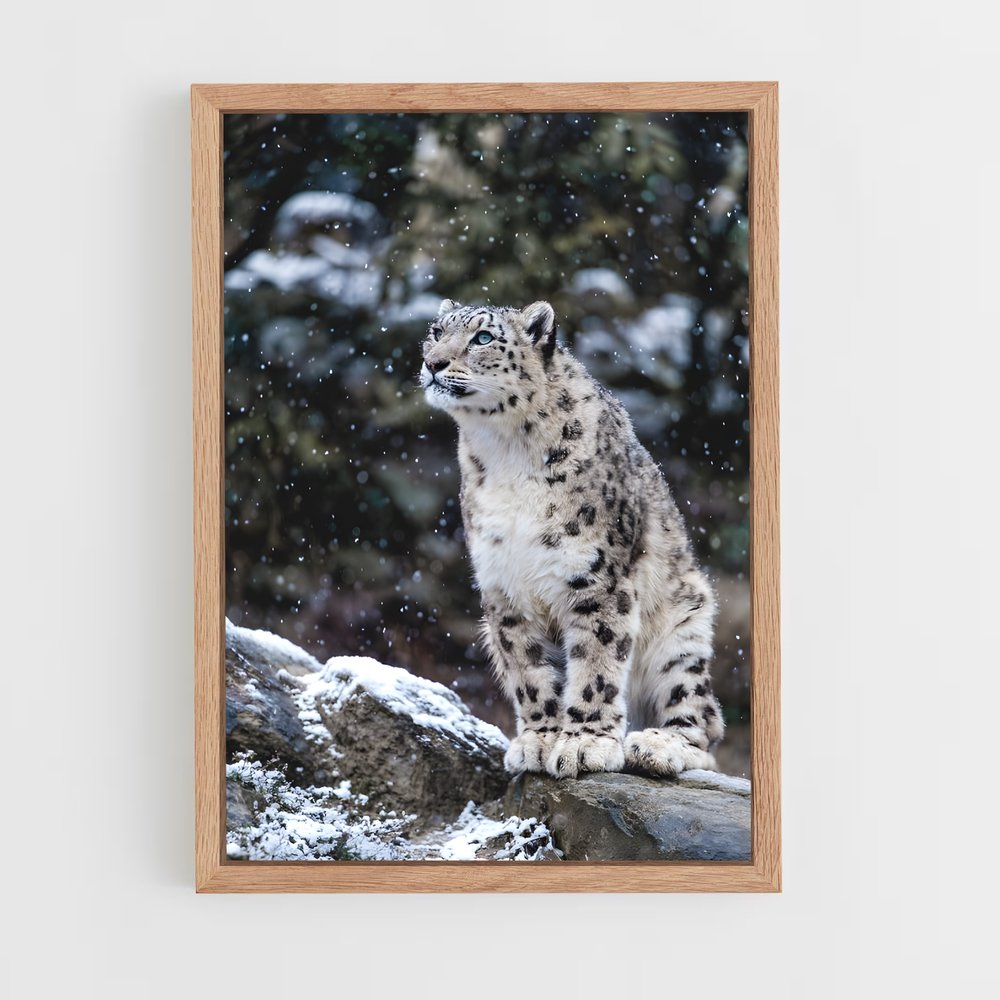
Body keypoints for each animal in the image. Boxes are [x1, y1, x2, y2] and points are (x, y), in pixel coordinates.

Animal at [420, 299, 725, 779]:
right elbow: (527, 668)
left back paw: (656, 746)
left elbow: (596, 662)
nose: (433, 363)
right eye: (436, 332)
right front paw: (540, 739)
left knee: (702, 722)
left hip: (682, 636)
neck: (506, 454)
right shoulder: (504, 585)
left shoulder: (596, 578)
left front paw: (585, 744)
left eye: (483, 337)